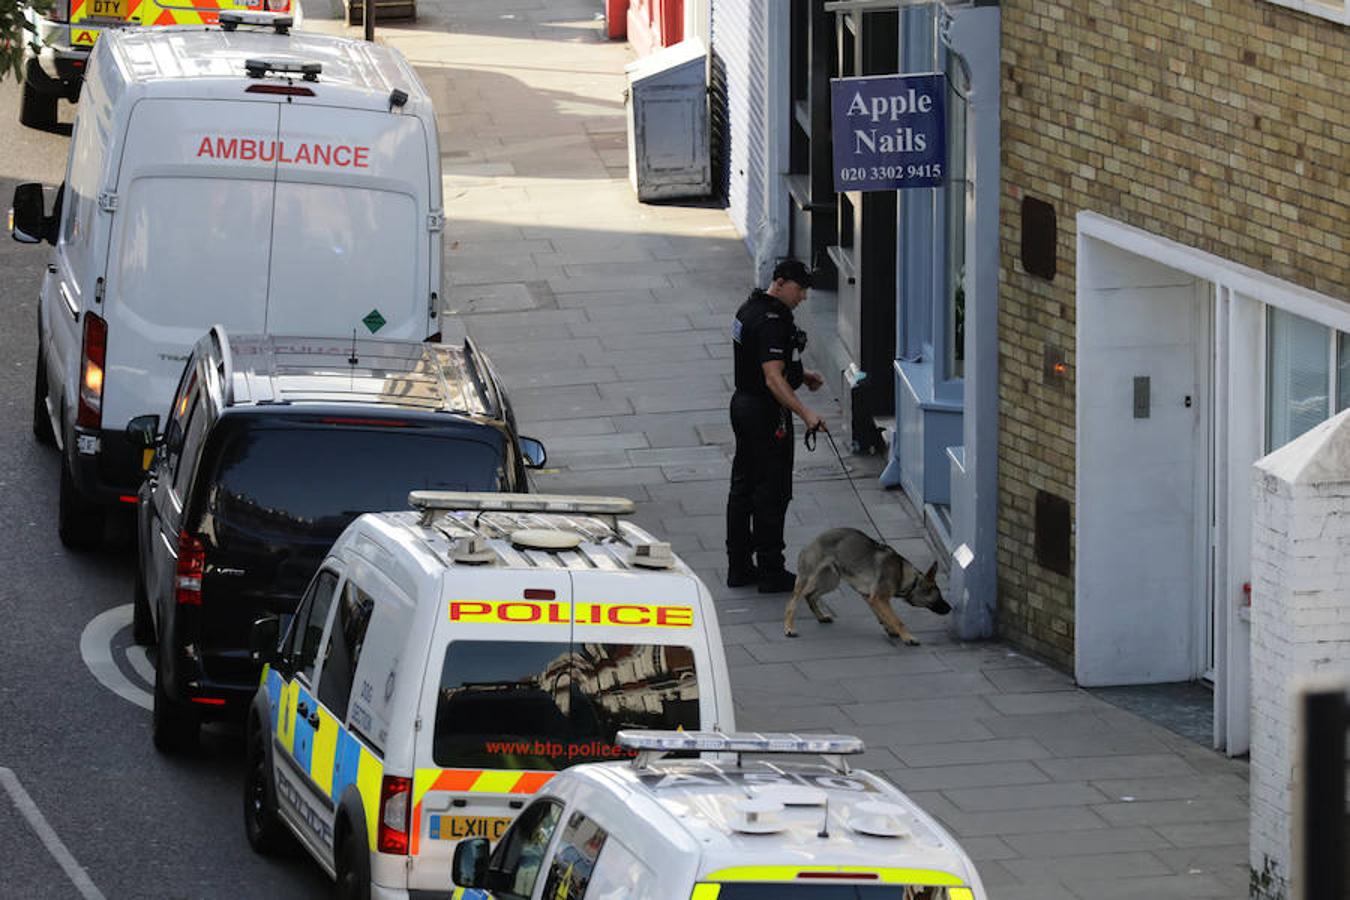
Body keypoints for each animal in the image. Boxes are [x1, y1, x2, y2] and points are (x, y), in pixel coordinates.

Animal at [783, 528, 950, 647]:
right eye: (939, 596)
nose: (950, 608)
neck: (904, 575)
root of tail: (812, 542)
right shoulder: (879, 598)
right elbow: (896, 619)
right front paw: (907, 637)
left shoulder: (871, 597)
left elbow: (883, 615)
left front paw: (890, 629)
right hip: (808, 580)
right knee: (792, 603)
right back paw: (789, 628)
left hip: (831, 581)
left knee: (810, 596)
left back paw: (821, 617)